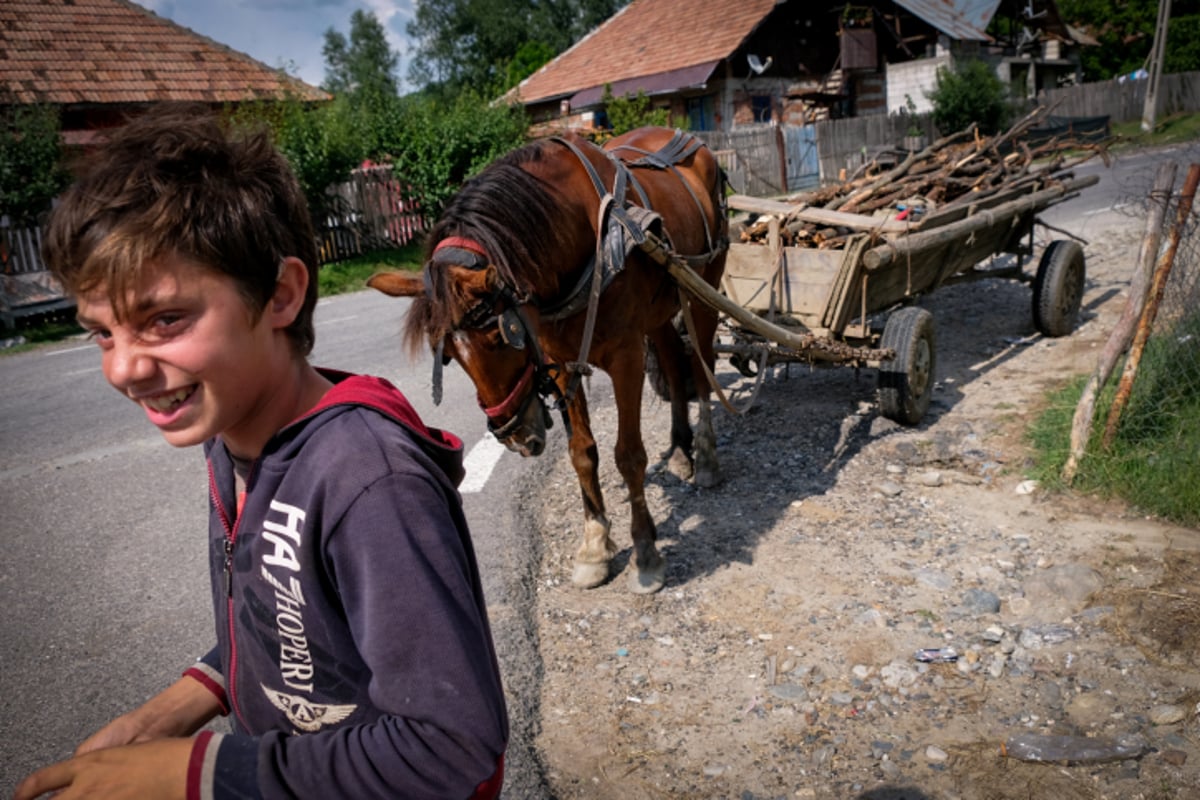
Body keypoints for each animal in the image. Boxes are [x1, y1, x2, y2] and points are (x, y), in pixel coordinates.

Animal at [367, 128, 720, 594]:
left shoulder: (625, 357)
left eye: (503, 338)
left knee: (703, 366)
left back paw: (707, 455)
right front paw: (594, 546)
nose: (515, 437)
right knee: (674, 367)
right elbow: (582, 452)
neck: (583, 234)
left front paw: (645, 553)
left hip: (704, 288)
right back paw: (680, 449)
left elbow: (628, 455)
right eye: (449, 356)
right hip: (661, 309)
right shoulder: (562, 359)